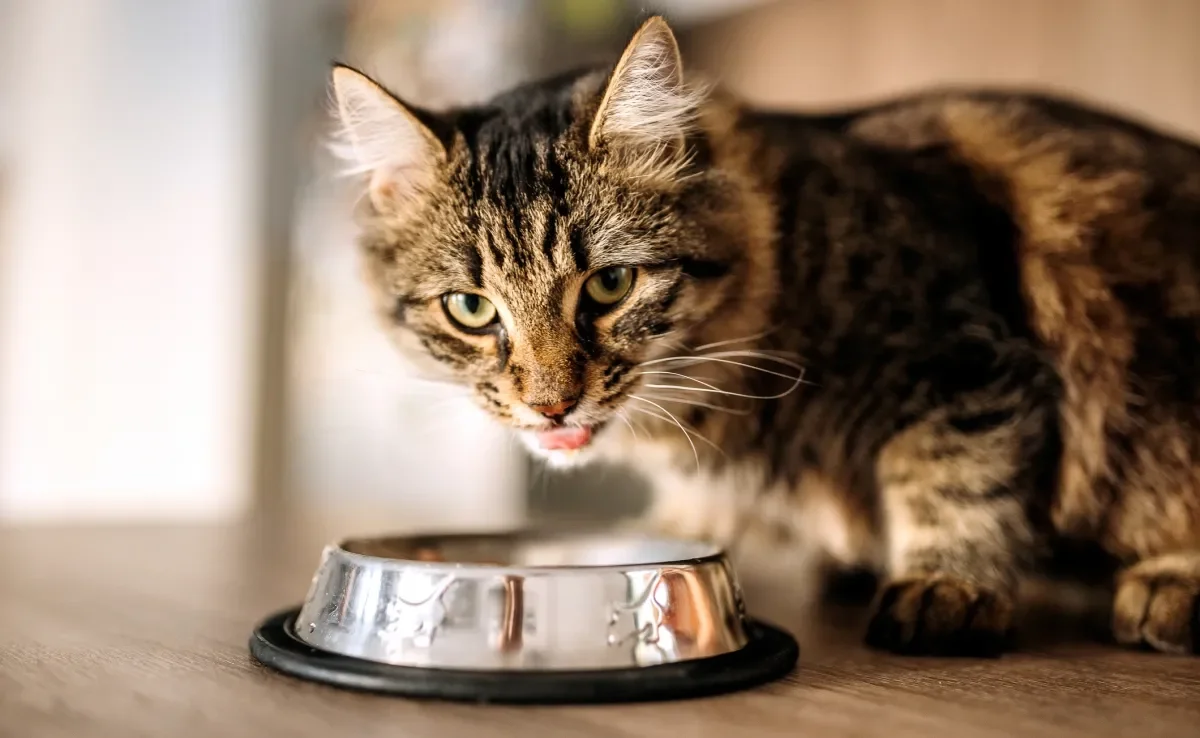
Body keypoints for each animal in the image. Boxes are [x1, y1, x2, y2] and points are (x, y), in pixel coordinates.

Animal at [326, 14, 1200, 657]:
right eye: (471, 308)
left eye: (609, 285)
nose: (551, 406)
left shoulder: (961, 361)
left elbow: (954, 479)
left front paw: (948, 586)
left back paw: (1166, 589)